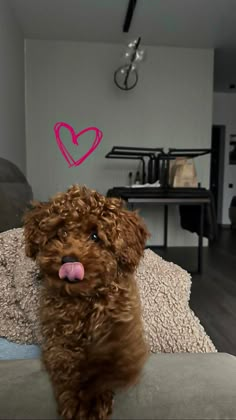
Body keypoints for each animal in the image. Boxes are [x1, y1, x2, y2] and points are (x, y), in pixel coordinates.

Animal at [23, 185, 149, 418]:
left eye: (95, 236)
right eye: (61, 232)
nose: (68, 260)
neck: (85, 298)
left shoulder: (122, 320)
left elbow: (114, 355)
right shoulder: (59, 337)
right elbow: (68, 364)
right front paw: (81, 399)